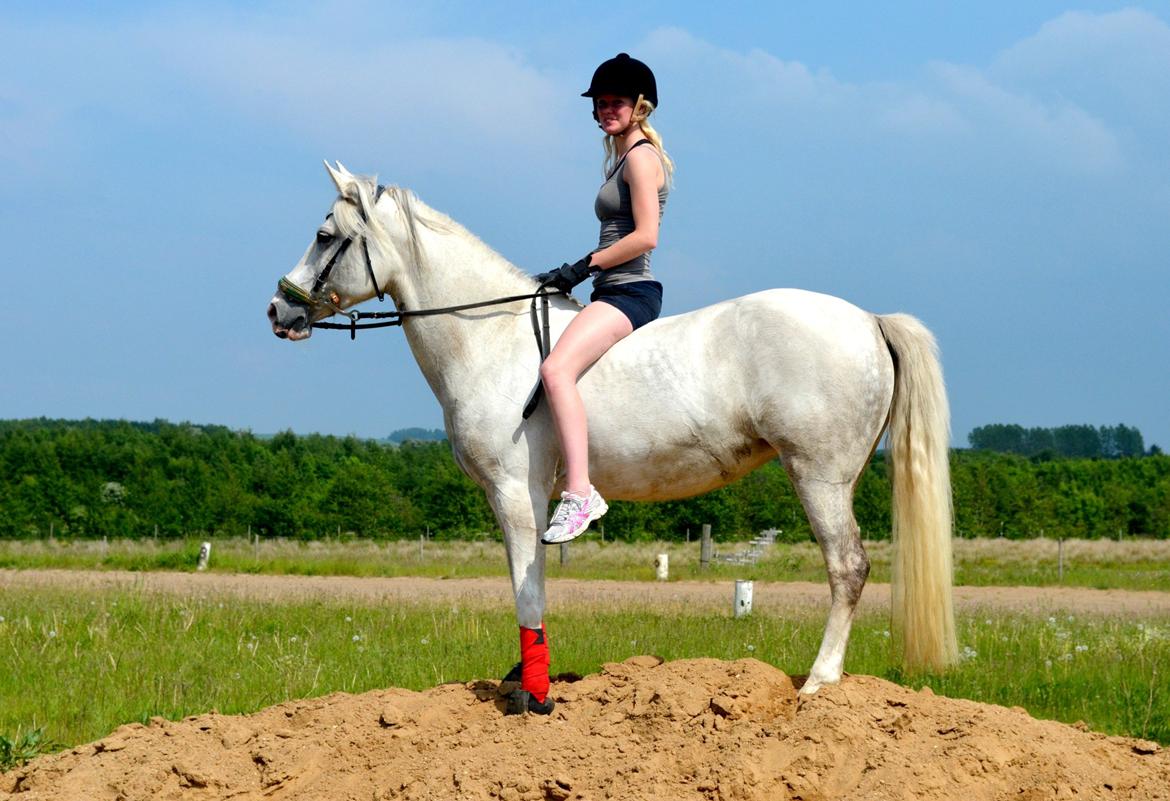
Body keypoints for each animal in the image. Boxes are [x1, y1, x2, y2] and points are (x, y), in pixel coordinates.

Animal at [267, 161, 959, 706]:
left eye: (324, 235)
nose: (279, 309)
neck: (489, 336)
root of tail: (868, 320)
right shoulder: (527, 496)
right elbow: (535, 584)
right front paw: (527, 679)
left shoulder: (515, 493)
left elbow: (525, 589)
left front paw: (534, 697)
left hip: (818, 475)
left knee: (848, 567)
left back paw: (819, 682)